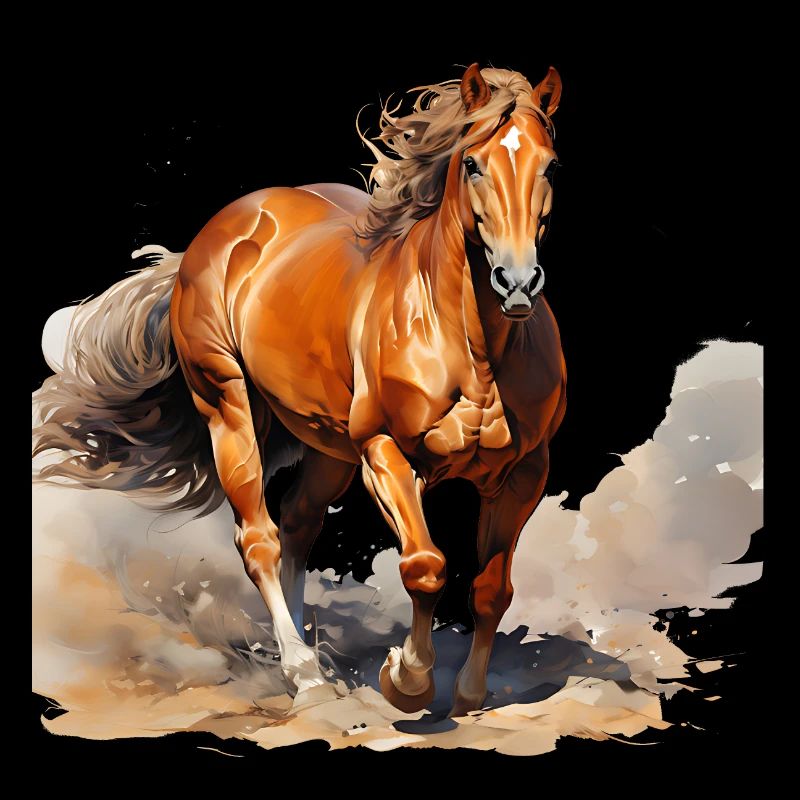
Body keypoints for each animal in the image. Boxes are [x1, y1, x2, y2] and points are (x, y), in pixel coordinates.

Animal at [33, 64, 567, 717]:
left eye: (550, 165)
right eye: (472, 163)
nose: (517, 282)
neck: (472, 349)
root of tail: (223, 228)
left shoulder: (526, 472)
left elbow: (492, 588)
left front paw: (468, 694)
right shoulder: (385, 454)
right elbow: (425, 567)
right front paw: (405, 680)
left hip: (326, 444)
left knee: (298, 522)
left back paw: (308, 659)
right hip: (229, 408)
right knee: (259, 538)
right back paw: (305, 676)